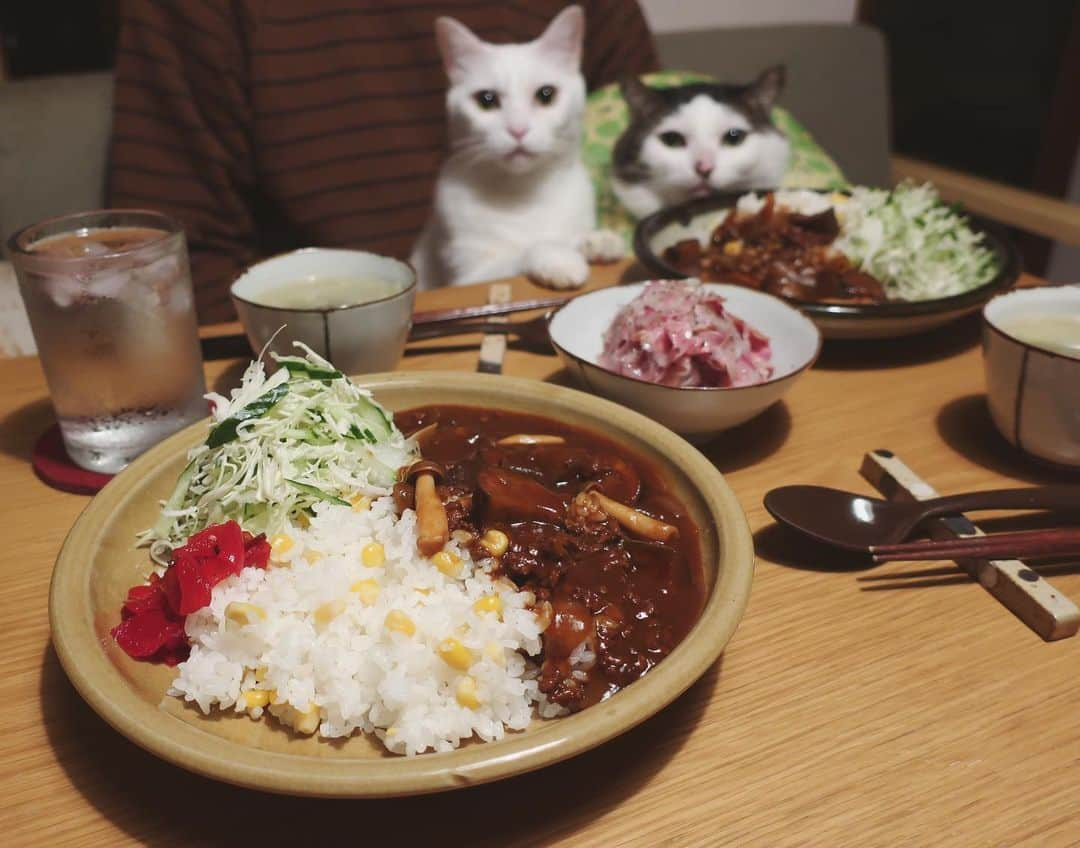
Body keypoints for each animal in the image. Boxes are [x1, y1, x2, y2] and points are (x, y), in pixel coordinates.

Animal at [408, 4, 622, 291]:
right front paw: (559, 258)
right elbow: (525, 251)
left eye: (546, 94)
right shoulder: (468, 278)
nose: (518, 129)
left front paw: (594, 241)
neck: (524, 195)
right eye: (486, 100)